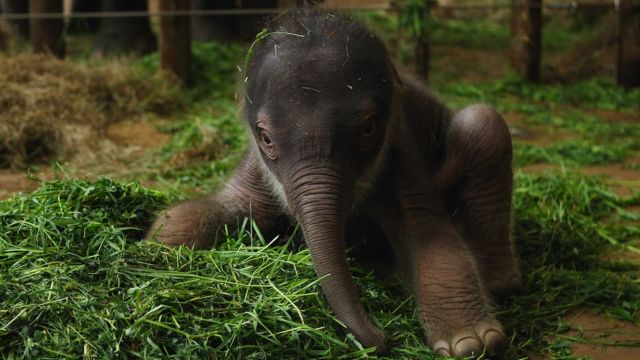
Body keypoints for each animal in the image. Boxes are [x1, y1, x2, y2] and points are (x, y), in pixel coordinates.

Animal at [149, 7, 520, 358]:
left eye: (369, 129)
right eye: (266, 138)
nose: (382, 338)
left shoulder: (401, 150)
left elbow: (429, 234)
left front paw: (472, 343)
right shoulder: (255, 167)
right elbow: (224, 208)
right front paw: (156, 246)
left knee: (483, 124)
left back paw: (497, 283)